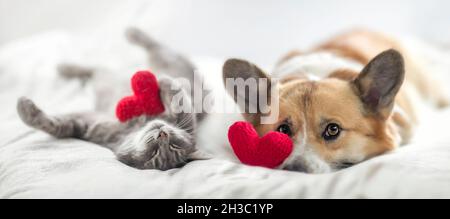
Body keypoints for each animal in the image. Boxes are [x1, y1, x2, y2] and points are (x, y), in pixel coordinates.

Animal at [15, 27, 208, 171]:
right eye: (154, 153)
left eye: (169, 148)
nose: (162, 134)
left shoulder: (84, 125)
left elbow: (56, 126)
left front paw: (24, 109)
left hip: (163, 62)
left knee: (153, 49)